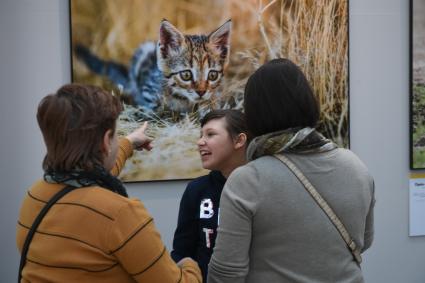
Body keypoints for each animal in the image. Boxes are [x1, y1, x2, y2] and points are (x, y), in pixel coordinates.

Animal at [74, 18, 230, 115]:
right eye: (186, 75)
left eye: (212, 75)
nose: (201, 92)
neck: (185, 99)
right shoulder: (147, 92)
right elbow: (156, 109)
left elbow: (212, 102)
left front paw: (208, 107)